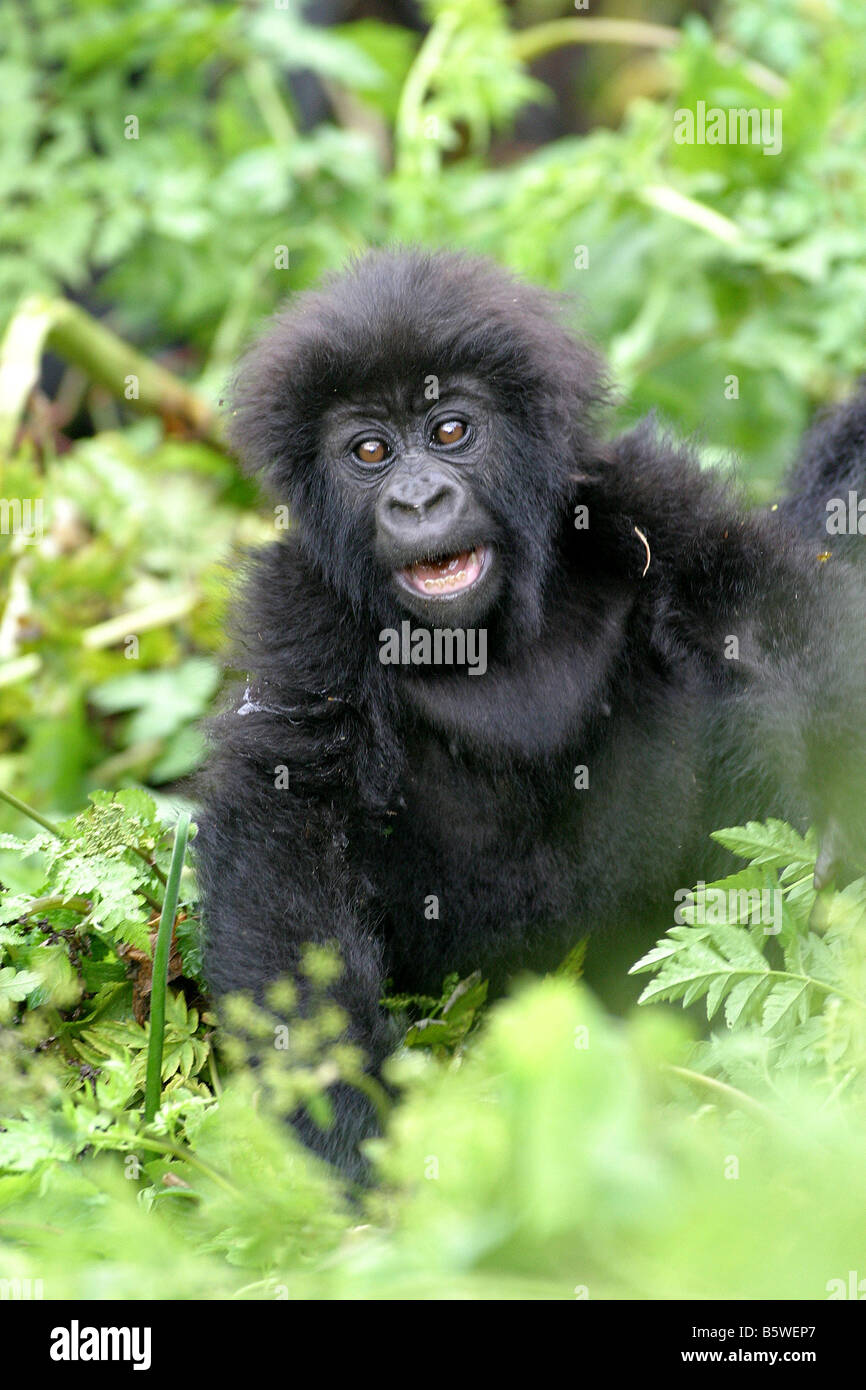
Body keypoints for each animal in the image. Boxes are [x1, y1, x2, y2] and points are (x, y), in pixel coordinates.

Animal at [195, 247, 866, 1173]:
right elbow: (287, 837)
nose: (416, 501)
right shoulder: (302, 612)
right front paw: (360, 1140)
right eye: (369, 450)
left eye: (450, 431)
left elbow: (788, 612)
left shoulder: (652, 500)